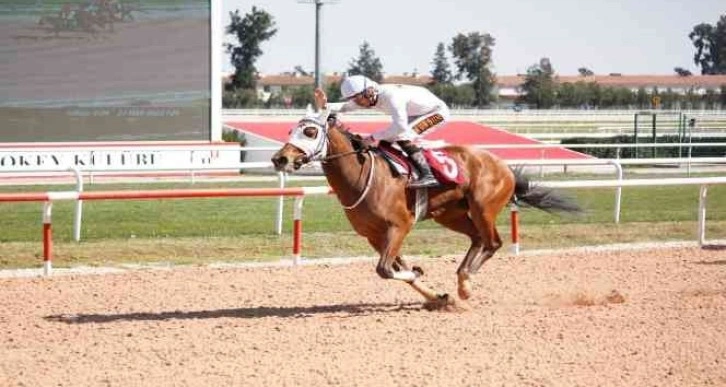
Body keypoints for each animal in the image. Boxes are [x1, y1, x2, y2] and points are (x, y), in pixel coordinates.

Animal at [270, 107, 584, 310]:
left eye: (310, 131)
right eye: (291, 130)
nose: (279, 159)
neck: (361, 175)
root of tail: (503, 166)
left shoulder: (399, 225)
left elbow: (385, 269)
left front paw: (423, 277)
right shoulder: (374, 235)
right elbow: (395, 268)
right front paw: (436, 295)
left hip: (483, 208)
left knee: (493, 242)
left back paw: (466, 283)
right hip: (451, 215)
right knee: (477, 239)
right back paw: (460, 280)